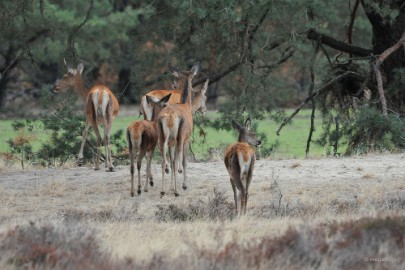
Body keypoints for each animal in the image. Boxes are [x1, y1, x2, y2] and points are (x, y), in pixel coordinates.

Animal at [156, 62, 199, 197]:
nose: (174, 85)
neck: (186, 104)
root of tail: (169, 117)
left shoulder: (171, 143)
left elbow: (171, 160)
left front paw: (170, 187)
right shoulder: (187, 138)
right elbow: (184, 161)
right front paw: (184, 185)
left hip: (162, 137)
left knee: (164, 161)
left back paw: (163, 190)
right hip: (180, 136)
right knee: (176, 161)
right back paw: (176, 191)